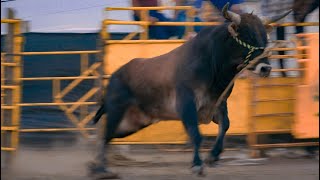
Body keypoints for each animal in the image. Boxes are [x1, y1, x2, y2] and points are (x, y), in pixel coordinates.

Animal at [88, 3, 292, 179]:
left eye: (265, 37)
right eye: (247, 36)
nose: (266, 68)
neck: (212, 60)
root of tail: (115, 75)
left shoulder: (218, 105)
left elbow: (225, 126)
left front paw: (213, 157)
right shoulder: (186, 105)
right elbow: (196, 134)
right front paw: (197, 165)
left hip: (132, 123)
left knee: (106, 137)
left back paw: (96, 168)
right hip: (117, 112)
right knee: (103, 137)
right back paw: (100, 169)